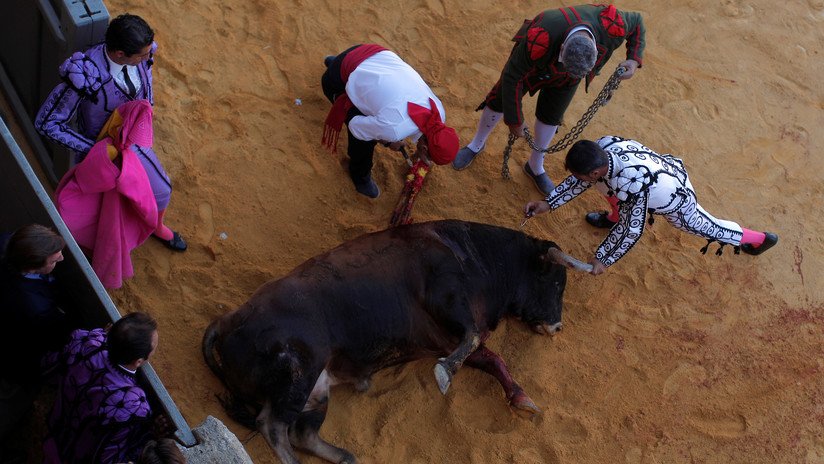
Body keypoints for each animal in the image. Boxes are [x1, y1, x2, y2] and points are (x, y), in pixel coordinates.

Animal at [203, 220, 584, 464]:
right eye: (555, 282)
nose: (557, 326)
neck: (474, 257)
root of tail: (226, 321)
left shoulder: (444, 337)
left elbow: (490, 357)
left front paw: (522, 399)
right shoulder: (447, 301)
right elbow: (474, 340)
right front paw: (444, 375)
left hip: (316, 390)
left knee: (302, 434)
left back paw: (345, 457)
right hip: (302, 370)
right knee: (272, 426)